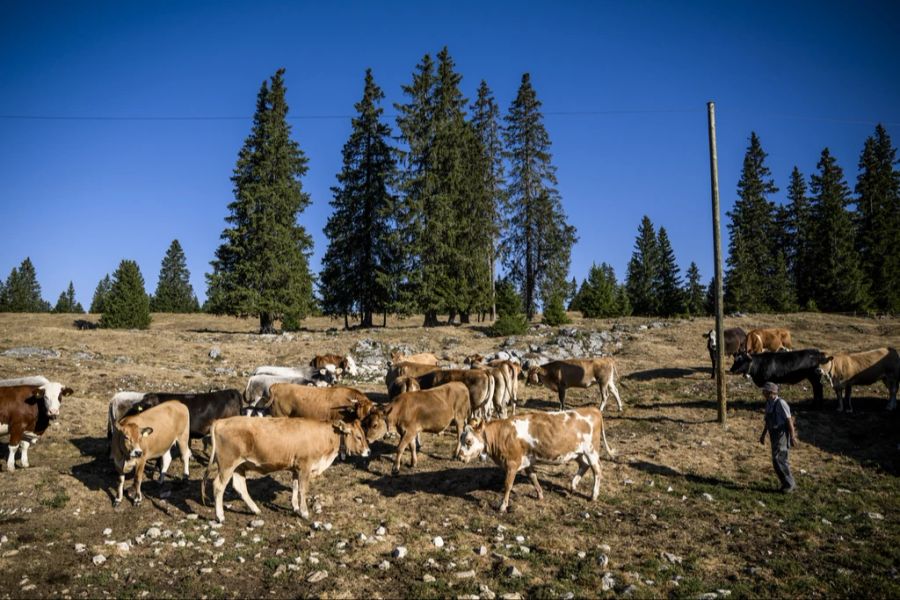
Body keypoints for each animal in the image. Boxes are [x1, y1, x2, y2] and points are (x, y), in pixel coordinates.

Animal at [203, 414, 370, 524]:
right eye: (358, 437)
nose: (368, 452)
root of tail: (220, 421)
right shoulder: (305, 466)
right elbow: (303, 489)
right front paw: (304, 512)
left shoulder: (296, 468)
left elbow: (295, 487)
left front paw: (295, 507)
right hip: (227, 465)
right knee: (218, 486)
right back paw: (220, 516)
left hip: (239, 466)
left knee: (240, 487)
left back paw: (255, 510)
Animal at [458, 408, 620, 510]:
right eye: (461, 438)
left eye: (468, 441)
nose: (459, 457)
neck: (503, 434)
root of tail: (593, 409)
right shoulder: (527, 461)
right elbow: (533, 477)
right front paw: (540, 494)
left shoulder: (512, 463)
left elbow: (508, 485)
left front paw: (503, 506)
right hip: (577, 452)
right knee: (584, 465)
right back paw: (573, 485)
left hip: (591, 451)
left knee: (597, 471)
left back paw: (593, 495)